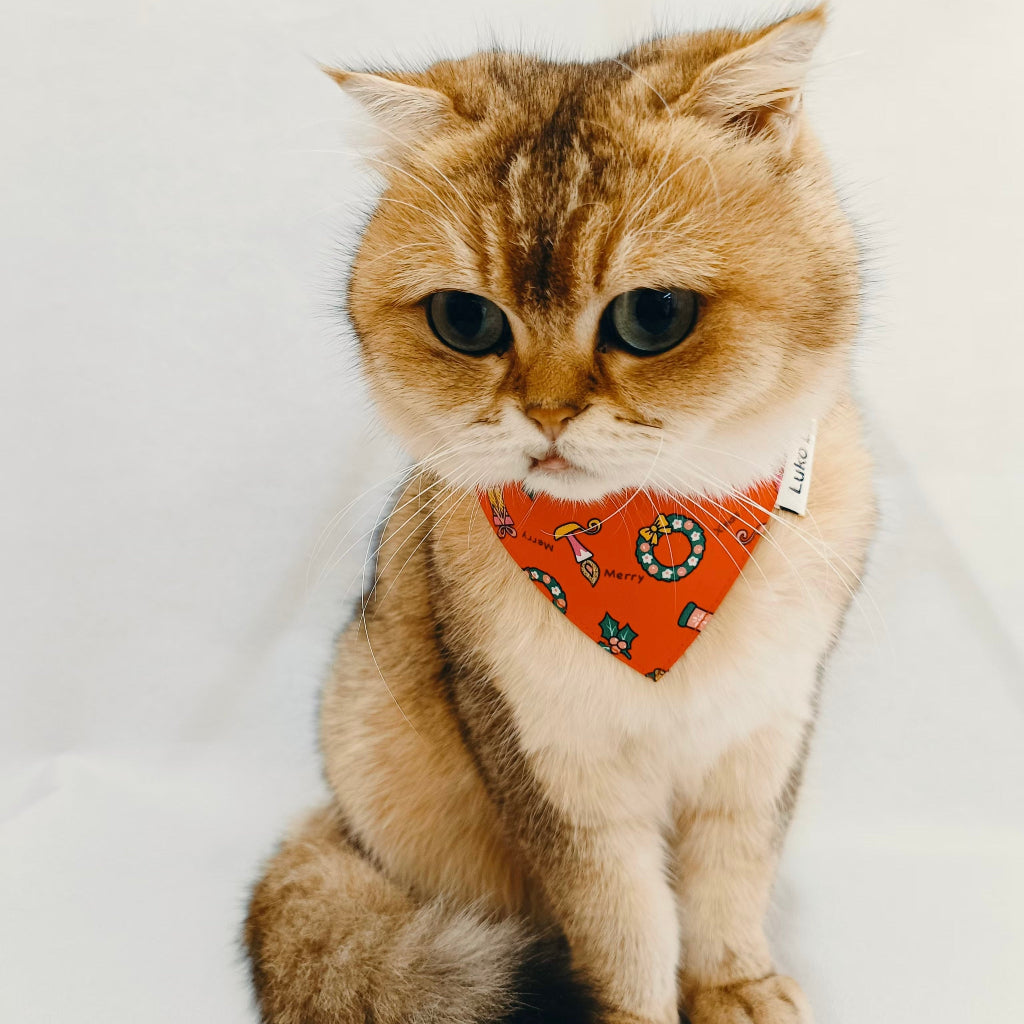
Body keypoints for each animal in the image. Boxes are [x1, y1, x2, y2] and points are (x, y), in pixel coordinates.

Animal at [245, 8, 872, 1024]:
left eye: (653, 315)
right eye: (465, 321)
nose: (544, 417)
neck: (644, 566)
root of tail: (332, 824)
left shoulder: (764, 734)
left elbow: (731, 884)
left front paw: (735, 985)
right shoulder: (556, 773)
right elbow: (625, 928)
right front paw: (640, 1012)